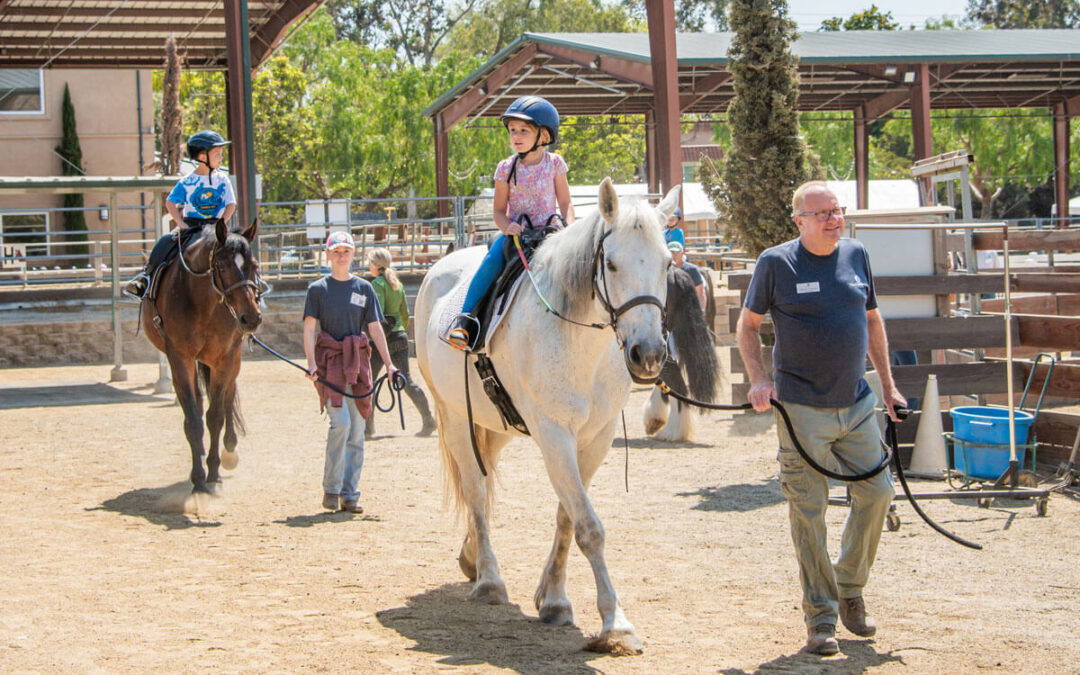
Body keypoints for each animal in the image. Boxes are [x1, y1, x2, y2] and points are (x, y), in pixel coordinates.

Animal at [140, 219, 263, 494]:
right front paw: (198, 478)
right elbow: (194, 420)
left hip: (232, 360)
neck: (203, 303)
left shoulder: (224, 358)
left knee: (228, 395)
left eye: (254, 266)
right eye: (222, 265)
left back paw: (230, 450)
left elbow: (215, 416)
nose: (251, 317)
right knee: (196, 402)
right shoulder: (179, 358)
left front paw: (214, 473)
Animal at [415, 179, 679, 655]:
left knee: (482, 483)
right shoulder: (556, 435)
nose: (648, 354)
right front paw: (615, 623)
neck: (578, 340)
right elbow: (589, 526)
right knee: (475, 491)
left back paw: (470, 558)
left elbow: (566, 517)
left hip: (498, 423)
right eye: (610, 263)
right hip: (455, 418)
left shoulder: (595, 438)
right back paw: (488, 579)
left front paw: (553, 599)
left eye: (668, 264)